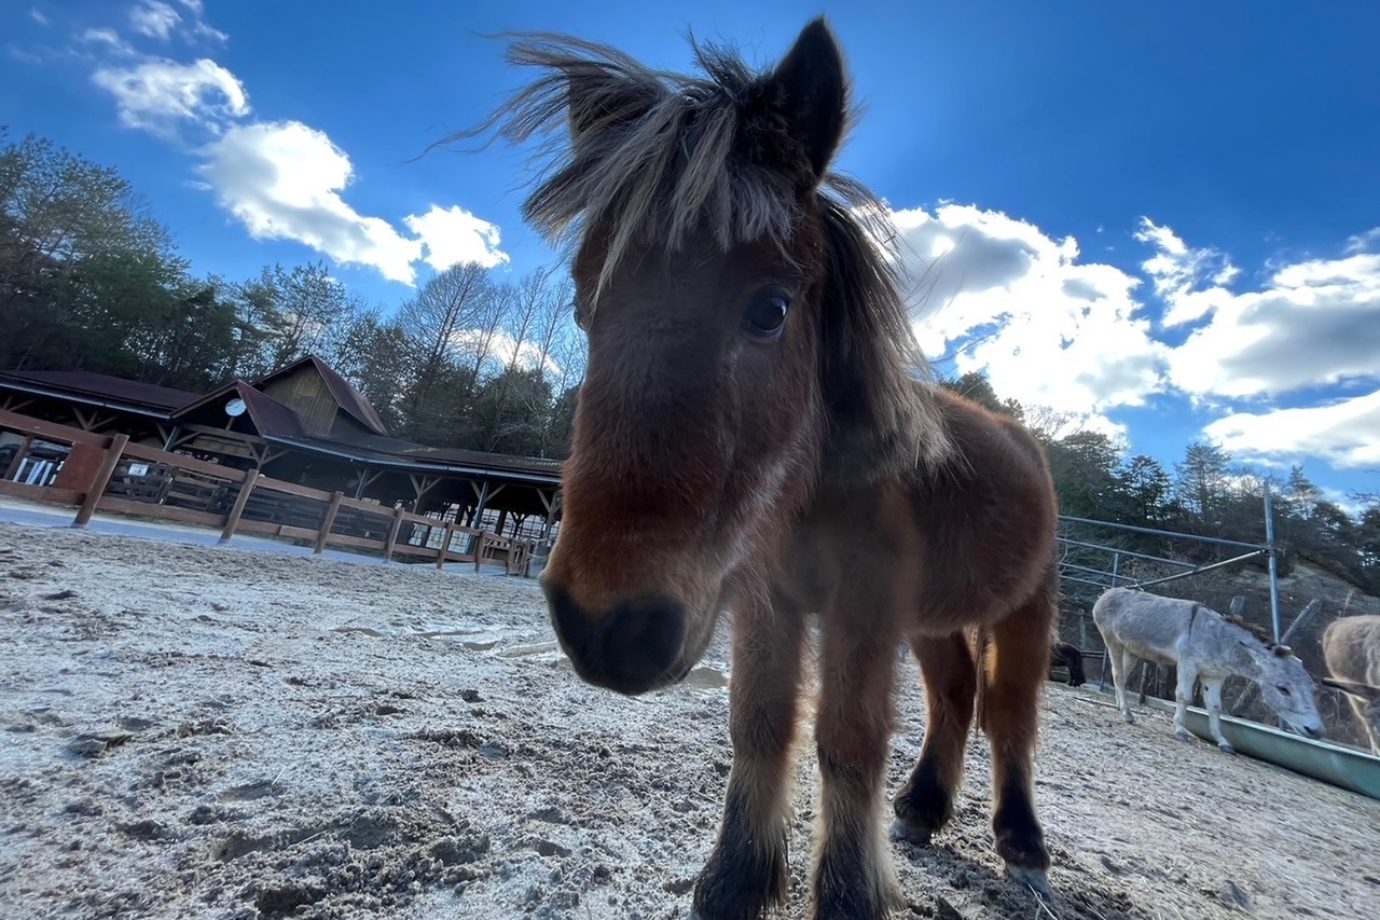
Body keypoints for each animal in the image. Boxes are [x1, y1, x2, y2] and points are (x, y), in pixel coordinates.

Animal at [469, 19, 1062, 918]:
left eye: (772, 309)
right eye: (583, 306)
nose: (608, 627)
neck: (806, 494)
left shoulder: (862, 606)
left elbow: (848, 740)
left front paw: (848, 893)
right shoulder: (763, 596)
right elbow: (760, 721)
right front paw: (738, 878)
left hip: (1026, 609)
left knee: (1010, 713)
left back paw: (1021, 840)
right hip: (933, 620)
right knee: (956, 695)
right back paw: (923, 809)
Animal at [1092, 587, 1324, 752]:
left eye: (1313, 690)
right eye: (1283, 689)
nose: (1317, 731)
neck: (1219, 641)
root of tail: (1107, 592)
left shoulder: (1214, 675)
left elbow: (1214, 707)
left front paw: (1222, 741)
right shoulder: (1188, 664)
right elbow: (1184, 696)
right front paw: (1180, 730)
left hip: (1132, 650)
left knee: (1120, 676)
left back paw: (1120, 706)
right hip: (1112, 641)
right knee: (1118, 676)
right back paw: (1127, 714)